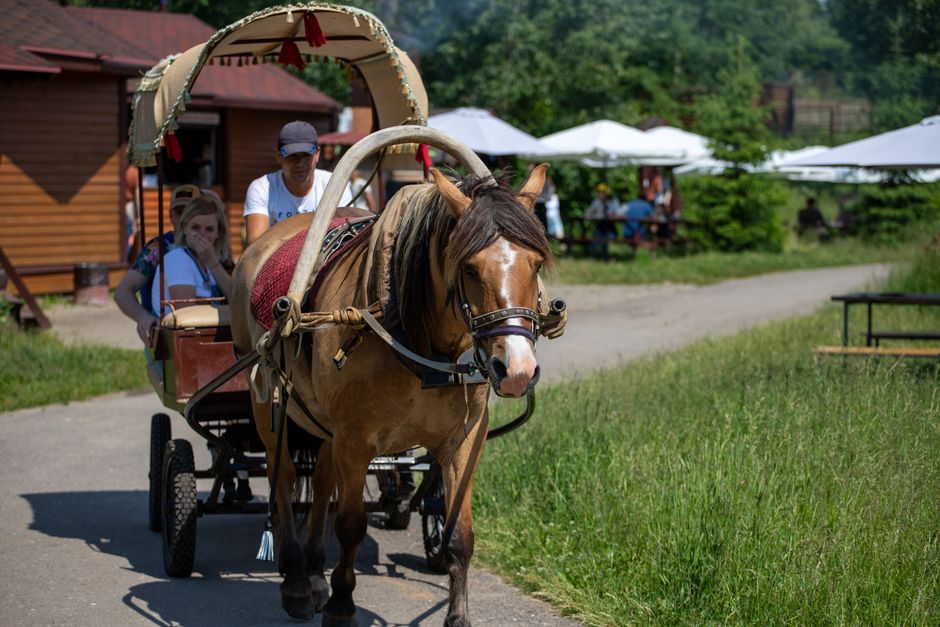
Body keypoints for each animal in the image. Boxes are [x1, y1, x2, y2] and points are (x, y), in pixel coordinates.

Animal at [230, 153, 552, 626]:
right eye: (469, 267)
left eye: (537, 264)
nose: (515, 369)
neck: (416, 341)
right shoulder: (355, 440)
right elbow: (350, 526)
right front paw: (341, 605)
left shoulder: (464, 439)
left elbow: (460, 534)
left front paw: (458, 616)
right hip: (268, 403)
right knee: (283, 477)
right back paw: (296, 581)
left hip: (324, 423)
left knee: (321, 480)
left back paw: (314, 573)